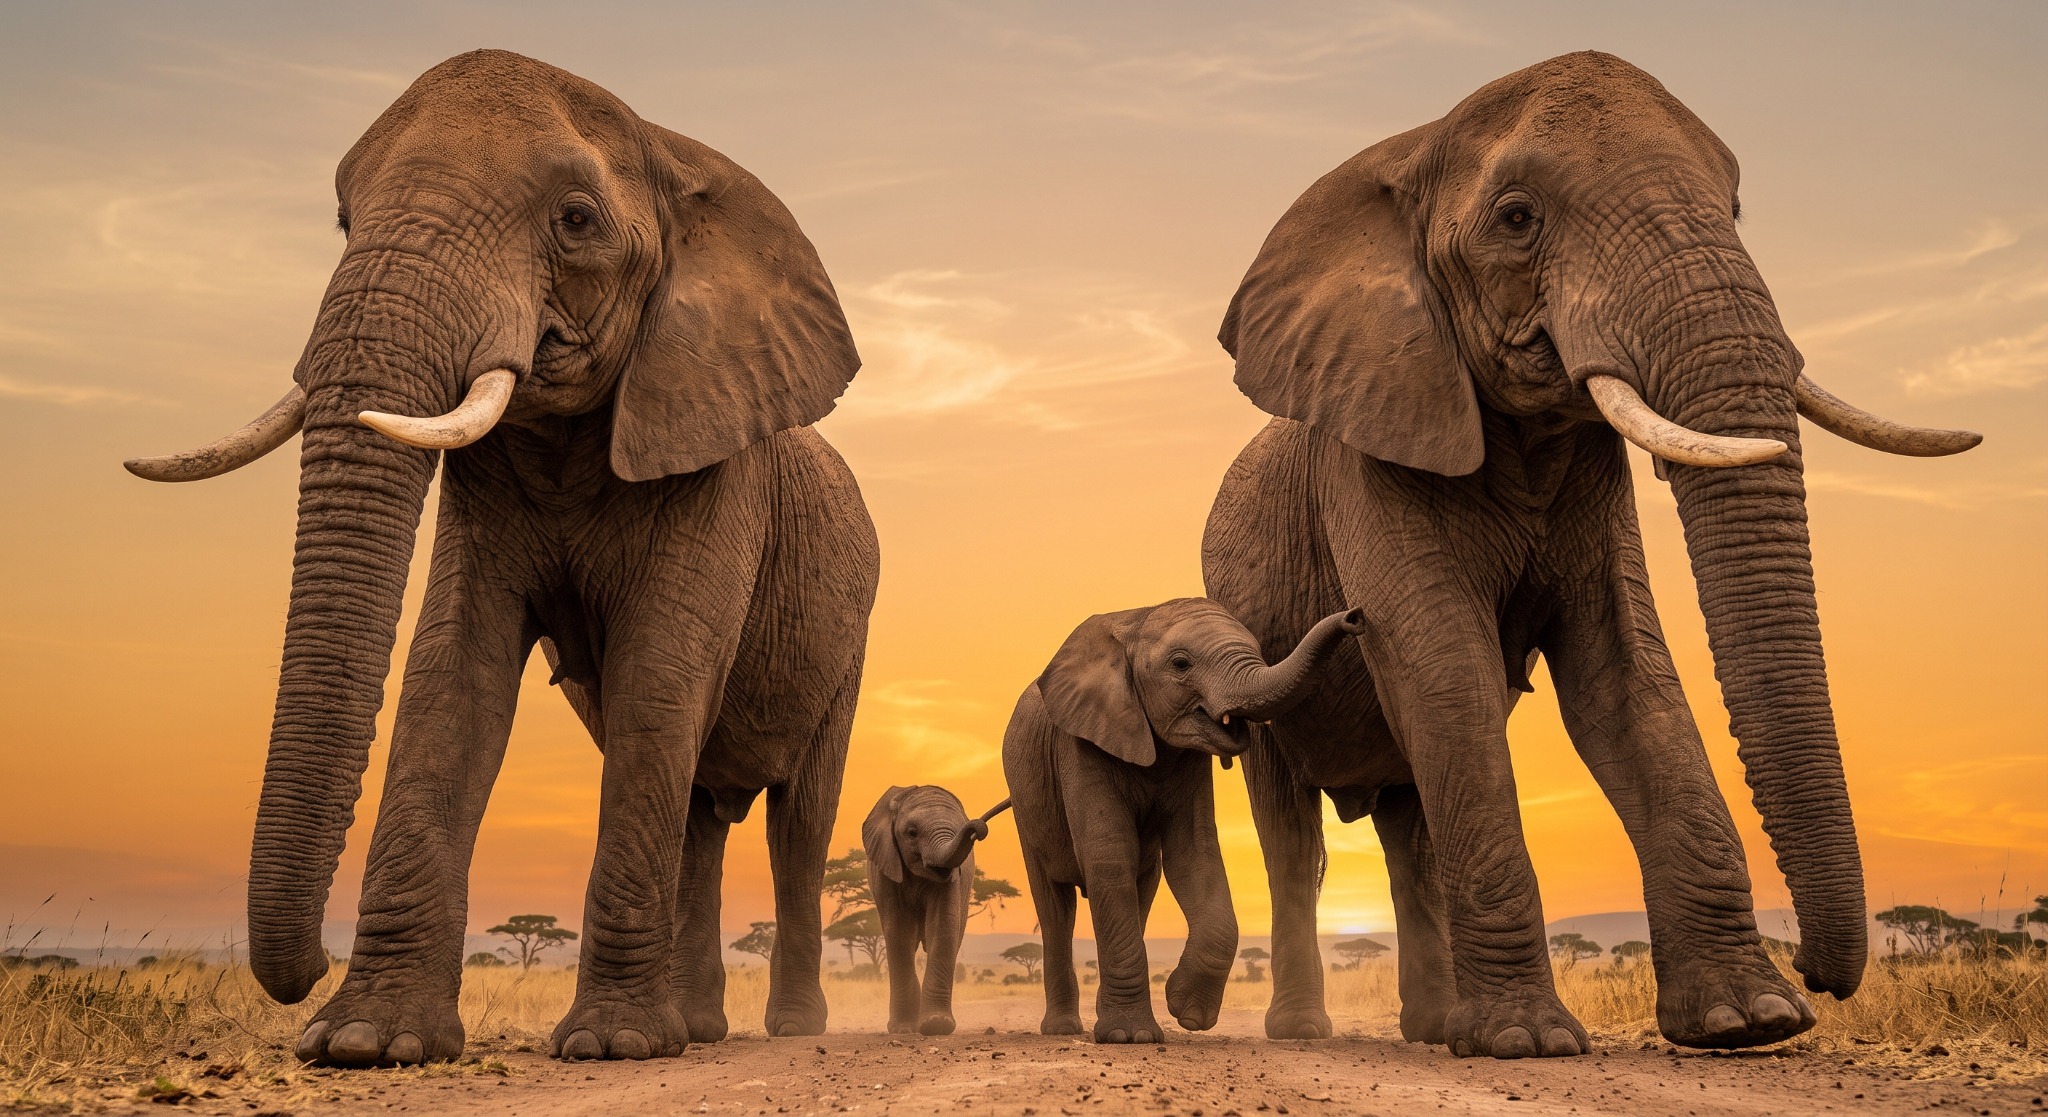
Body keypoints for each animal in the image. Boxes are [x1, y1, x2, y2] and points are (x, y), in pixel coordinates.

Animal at [122, 50, 879, 1065]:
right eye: (344, 220)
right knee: (698, 813)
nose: (306, 967)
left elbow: (658, 674)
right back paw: (698, 1029)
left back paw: (785, 1028)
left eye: (577, 220)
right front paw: (365, 1040)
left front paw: (609, 1047)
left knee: (800, 821)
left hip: (851, 640)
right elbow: (453, 675)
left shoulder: (720, 463)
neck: (675, 154)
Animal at [861, 787, 1011, 1035]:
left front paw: (936, 1025)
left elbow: (943, 928)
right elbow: (899, 933)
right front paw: (903, 1029)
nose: (978, 828)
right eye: (911, 833)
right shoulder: (885, 870)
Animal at [1003, 599, 1367, 1044]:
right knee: (1056, 908)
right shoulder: (1080, 743)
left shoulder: (1190, 761)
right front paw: (1129, 1037)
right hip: (1026, 810)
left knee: (1139, 890)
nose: (1354, 617)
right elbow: (1110, 856)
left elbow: (1195, 856)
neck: (1136, 620)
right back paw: (1061, 1029)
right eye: (1180, 664)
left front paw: (1187, 1012)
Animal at [1201, 51, 1980, 1058]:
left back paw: (1433, 1028)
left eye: (1735, 208)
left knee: (1411, 822)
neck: (1410, 147)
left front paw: (1747, 1021)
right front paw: (1527, 1042)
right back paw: (1306, 1032)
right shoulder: (1366, 450)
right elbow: (1445, 668)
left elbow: (1626, 679)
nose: (1818, 969)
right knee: (1293, 827)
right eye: (1516, 218)